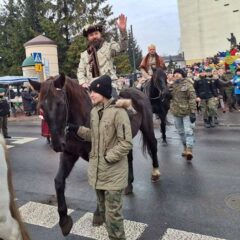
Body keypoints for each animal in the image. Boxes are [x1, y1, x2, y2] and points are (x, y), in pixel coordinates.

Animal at [29, 74, 160, 236]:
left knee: (153, 145)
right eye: (41, 107)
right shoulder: (69, 154)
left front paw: (98, 214)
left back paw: (155, 173)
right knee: (128, 157)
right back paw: (129, 184)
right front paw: (64, 220)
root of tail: (137, 90)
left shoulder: (97, 158)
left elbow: (99, 185)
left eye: (60, 103)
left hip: (147, 127)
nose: (57, 145)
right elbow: (59, 181)